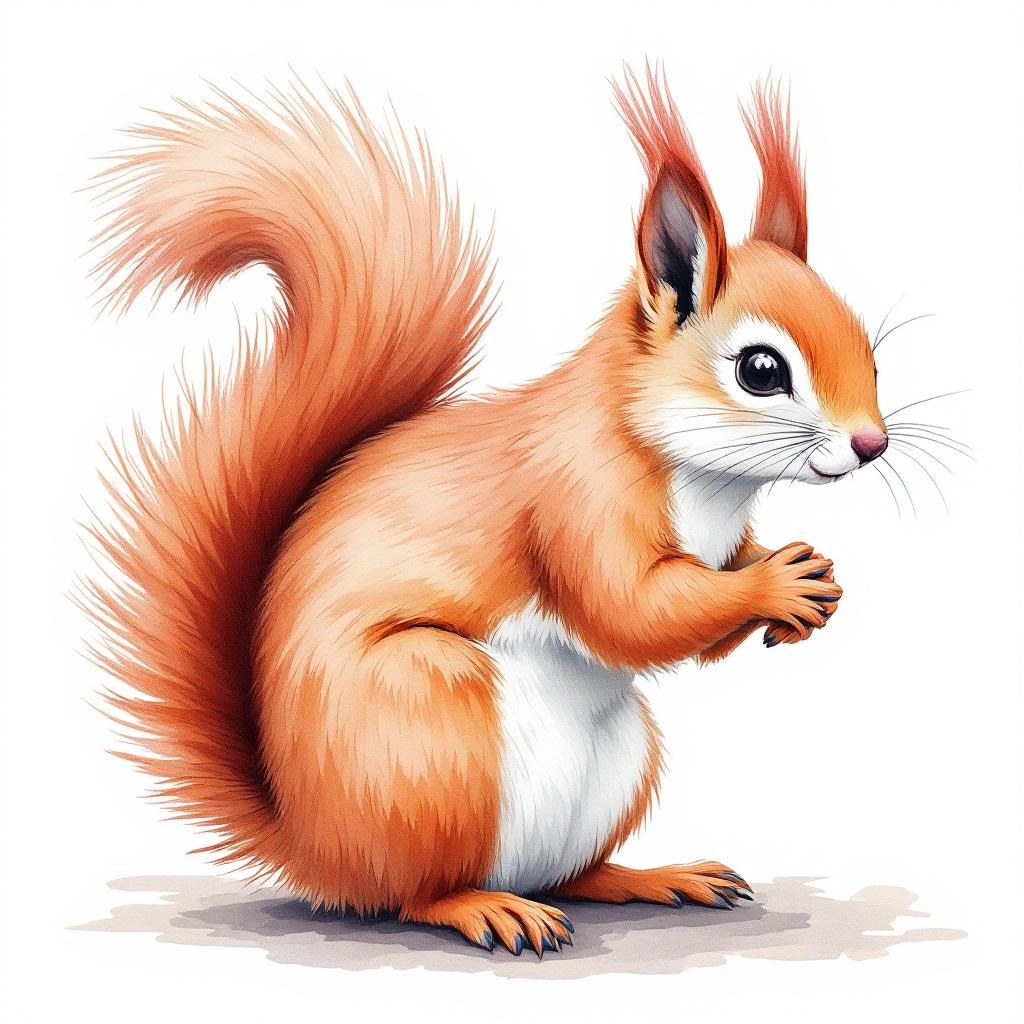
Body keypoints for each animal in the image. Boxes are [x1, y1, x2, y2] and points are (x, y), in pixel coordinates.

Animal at [83, 67, 886, 957]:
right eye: (760, 370)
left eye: (871, 351)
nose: (873, 444)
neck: (706, 482)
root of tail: (313, 847)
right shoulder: (575, 499)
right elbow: (630, 612)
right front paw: (780, 585)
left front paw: (813, 587)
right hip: (434, 726)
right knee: (411, 894)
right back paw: (484, 908)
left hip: (618, 763)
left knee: (566, 874)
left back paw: (652, 877)